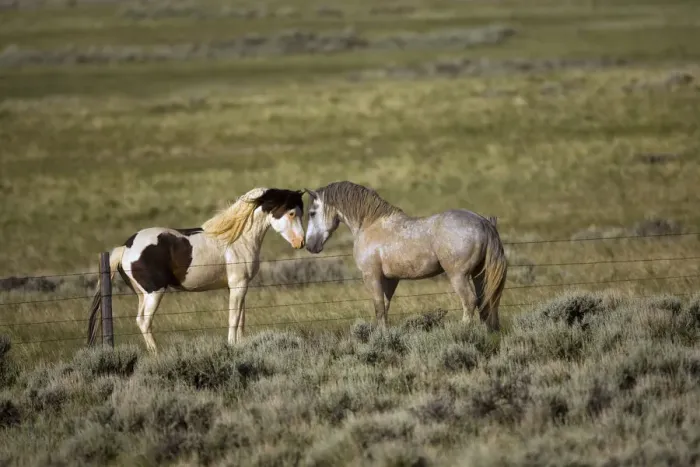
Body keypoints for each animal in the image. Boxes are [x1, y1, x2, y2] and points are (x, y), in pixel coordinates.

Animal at [87, 187, 305, 351]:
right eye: (291, 213)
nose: (301, 242)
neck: (237, 239)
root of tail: (126, 247)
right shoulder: (239, 285)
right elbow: (234, 318)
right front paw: (232, 345)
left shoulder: (238, 286)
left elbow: (241, 319)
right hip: (154, 293)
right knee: (144, 322)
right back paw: (157, 355)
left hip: (142, 294)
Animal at [303, 181, 507, 331]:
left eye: (312, 213)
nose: (310, 245)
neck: (370, 225)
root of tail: (483, 222)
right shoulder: (390, 279)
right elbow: (385, 308)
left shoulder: (371, 276)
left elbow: (378, 308)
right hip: (479, 274)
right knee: (485, 302)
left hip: (459, 276)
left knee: (470, 302)